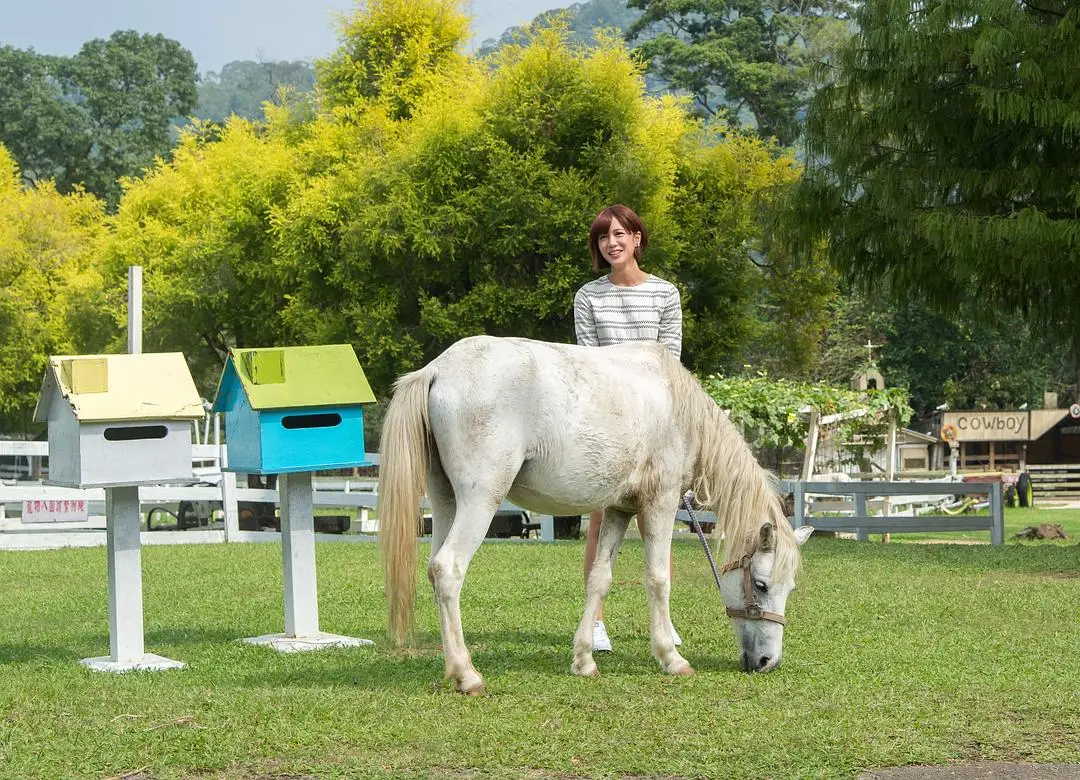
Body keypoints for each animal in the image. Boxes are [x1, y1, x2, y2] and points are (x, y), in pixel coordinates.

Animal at [380, 334, 812, 691]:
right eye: (761, 585)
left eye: (790, 588)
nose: (767, 661)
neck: (676, 406)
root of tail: (438, 369)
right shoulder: (660, 502)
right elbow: (658, 579)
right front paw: (671, 658)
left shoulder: (619, 509)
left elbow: (599, 579)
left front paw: (584, 660)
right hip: (480, 501)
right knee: (448, 570)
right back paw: (467, 675)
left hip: (446, 502)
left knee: (434, 569)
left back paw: (452, 668)